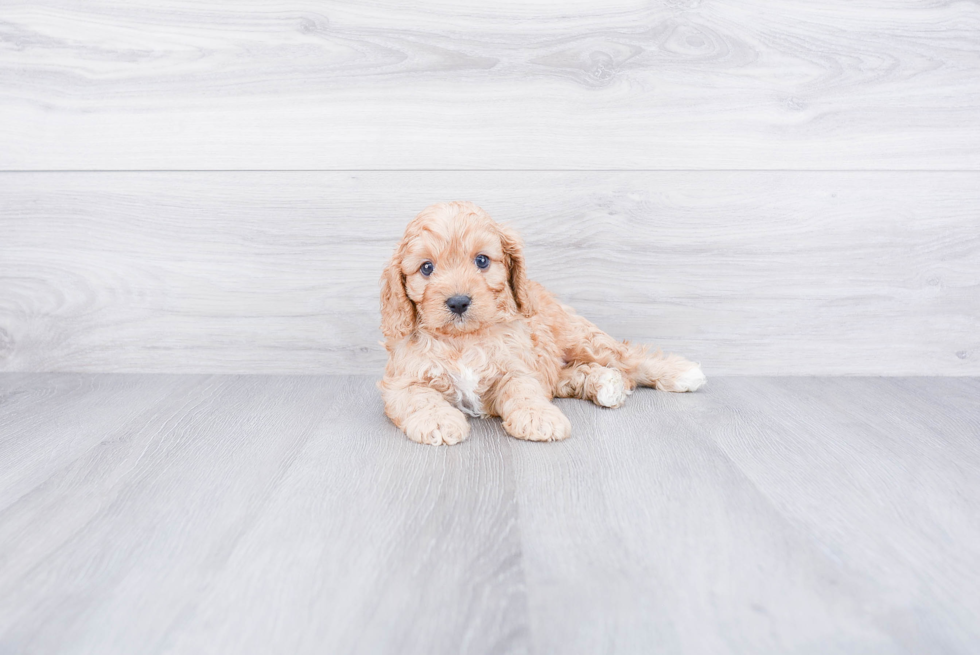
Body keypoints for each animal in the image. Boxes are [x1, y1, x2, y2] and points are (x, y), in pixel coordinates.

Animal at [378, 200, 708, 446]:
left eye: (482, 261)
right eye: (426, 268)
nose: (458, 302)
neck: (462, 339)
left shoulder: (517, 367)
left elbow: (523, 390)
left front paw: (538, 417)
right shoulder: (402, 381)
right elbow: (420, 397)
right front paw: (438, 420)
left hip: (581, 337)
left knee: (629, 358)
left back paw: (680, 373)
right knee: (575, 376)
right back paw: (606, 384)